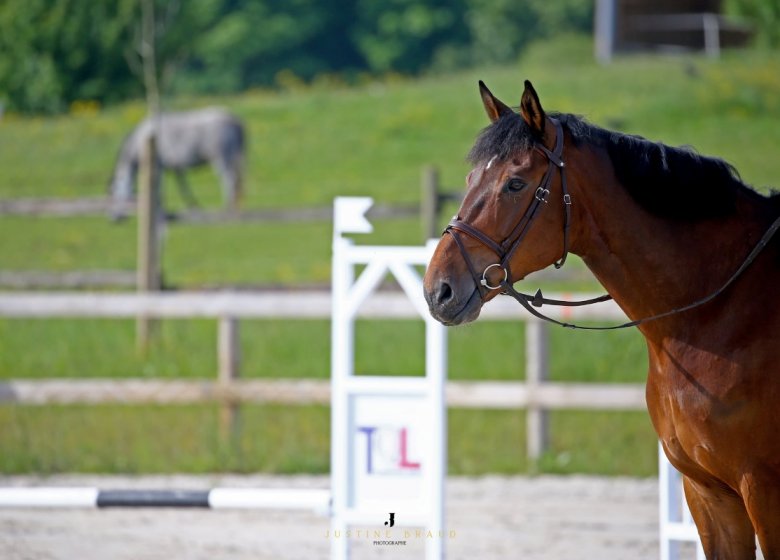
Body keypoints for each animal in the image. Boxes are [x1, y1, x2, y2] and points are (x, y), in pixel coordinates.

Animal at [108, 107, 245, 219]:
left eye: (113, 194)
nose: (113, 219)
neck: (140, 141)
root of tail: (232, 119)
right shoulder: (176, 169)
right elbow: (183, 187)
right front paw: (193, 205)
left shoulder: (159, 166)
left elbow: (162, 186)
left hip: (221, 159)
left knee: (229, 180)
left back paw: (226, 207)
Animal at [424, 80, 780, 560]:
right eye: (469, 180)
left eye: (515, 183)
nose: (438, 290)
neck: (717, 311)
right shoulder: (710, 495)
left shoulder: (763, 491)